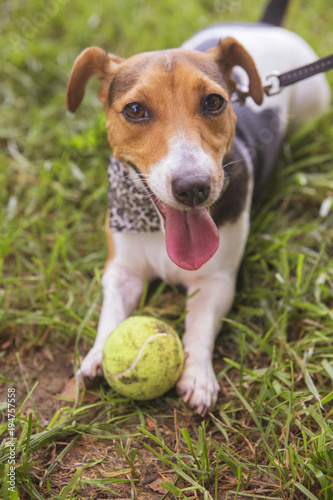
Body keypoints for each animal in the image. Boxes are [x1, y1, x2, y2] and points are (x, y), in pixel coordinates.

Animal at [65, 0, 330, 414]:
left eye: (214, 102)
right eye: (135, 110)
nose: (193, 188)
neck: (155, 226)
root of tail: (264, 26)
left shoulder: (216, 282)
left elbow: (200, 325)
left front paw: (199, 376)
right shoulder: (121, 269)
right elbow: (111, 311)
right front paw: (96, 355)